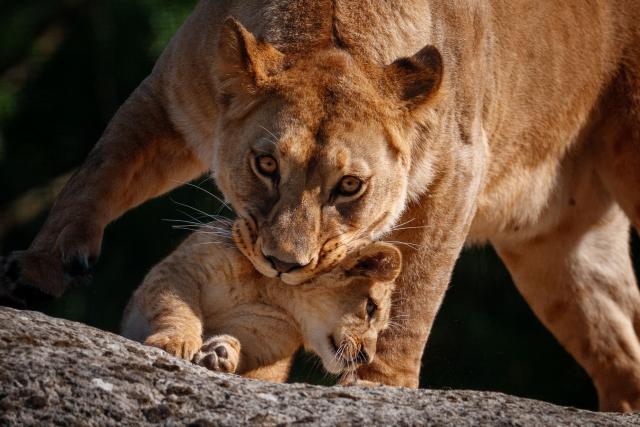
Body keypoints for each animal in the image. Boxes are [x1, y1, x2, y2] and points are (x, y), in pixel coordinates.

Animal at [121, 219, 401, 381]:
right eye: (371, 307)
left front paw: (221, 353)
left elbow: (241, 350)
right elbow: (176, 307)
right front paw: (175, 342)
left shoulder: (266, 342)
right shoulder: (180, 269)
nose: (366, 358)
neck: (270, 289)